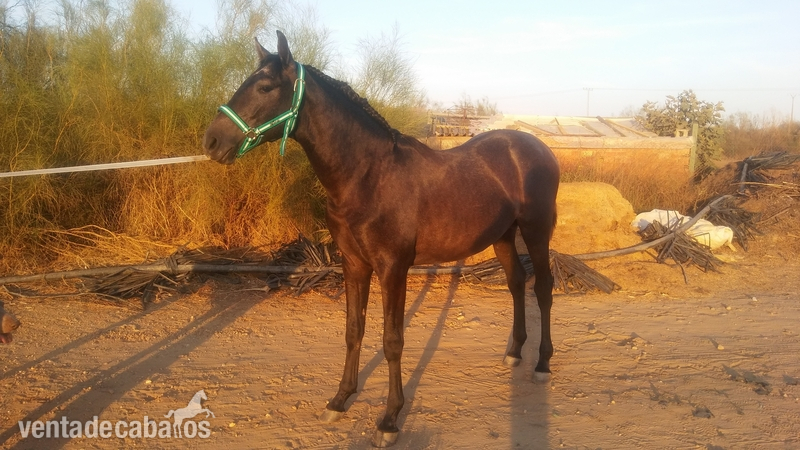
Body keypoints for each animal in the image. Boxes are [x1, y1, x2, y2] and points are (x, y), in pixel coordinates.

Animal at [203, 31, 560, 447]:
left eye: (264, 87)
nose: (211, 141)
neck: (367, 176)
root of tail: (537, 147)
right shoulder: (354, 263)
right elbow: (353, 330)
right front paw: (339, 400)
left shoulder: (393, 268)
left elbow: (392, 341)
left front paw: (389, 419)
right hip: (503, 235)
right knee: (517, 283)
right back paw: (514, 353)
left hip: (536, 230)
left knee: (543, 288)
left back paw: (542, 363)